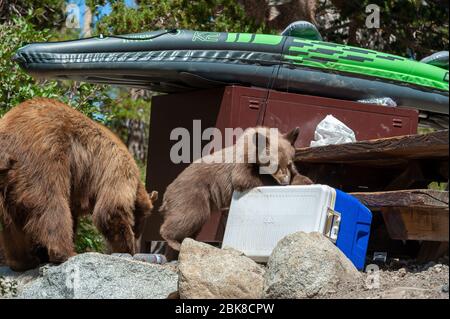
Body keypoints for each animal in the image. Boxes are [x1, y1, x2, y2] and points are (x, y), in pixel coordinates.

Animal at [0, 99, 158, 272]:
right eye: (139, 223)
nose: (137, 234)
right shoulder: (117, 171)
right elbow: (111, 210)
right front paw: (127, 249)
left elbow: (75, 214)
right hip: (43, 157)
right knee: (51, 203)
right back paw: (66, 253)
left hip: (7, 180)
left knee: (10, 223)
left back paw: (23, 261)